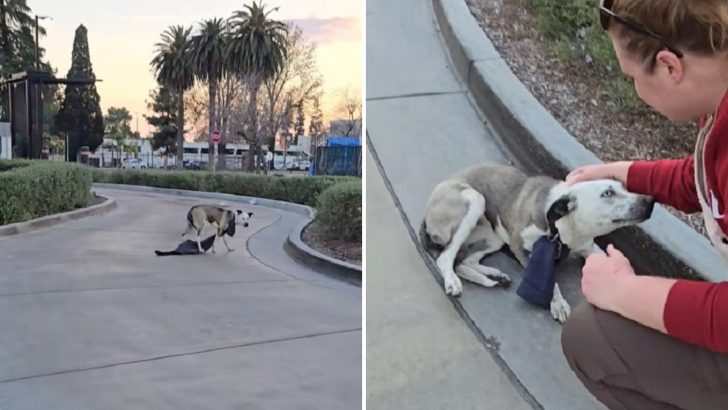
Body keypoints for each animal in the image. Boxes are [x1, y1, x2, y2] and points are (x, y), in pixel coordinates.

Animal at [420, 165, 656, 322]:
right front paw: (557, 302)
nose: (650, 201)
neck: (563, 228)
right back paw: (453, 280)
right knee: (446, 258)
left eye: (624, 187)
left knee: (463, 261)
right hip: (475, 199)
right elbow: (549, 278)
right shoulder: (521, 248)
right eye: (607, 193)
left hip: (494, 236)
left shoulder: (589, 247)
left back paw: (494, 275)